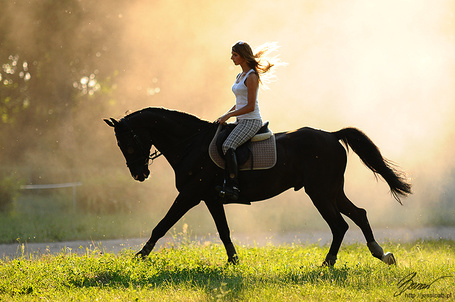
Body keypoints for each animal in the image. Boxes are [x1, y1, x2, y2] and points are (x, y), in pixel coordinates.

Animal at [105, 107, 412, 266]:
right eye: (120, 145)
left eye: (127, 143)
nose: (140, 174)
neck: (191, 144)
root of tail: (332, 135)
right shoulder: (210, 198)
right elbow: (224, 232)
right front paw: (233, 262)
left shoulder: (190, 194)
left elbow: (162, 225)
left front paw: (139, 257)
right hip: (332, 190)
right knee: (358, 214)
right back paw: (381, 254)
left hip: (320, 192)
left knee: (340, 225)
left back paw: (327, 264)